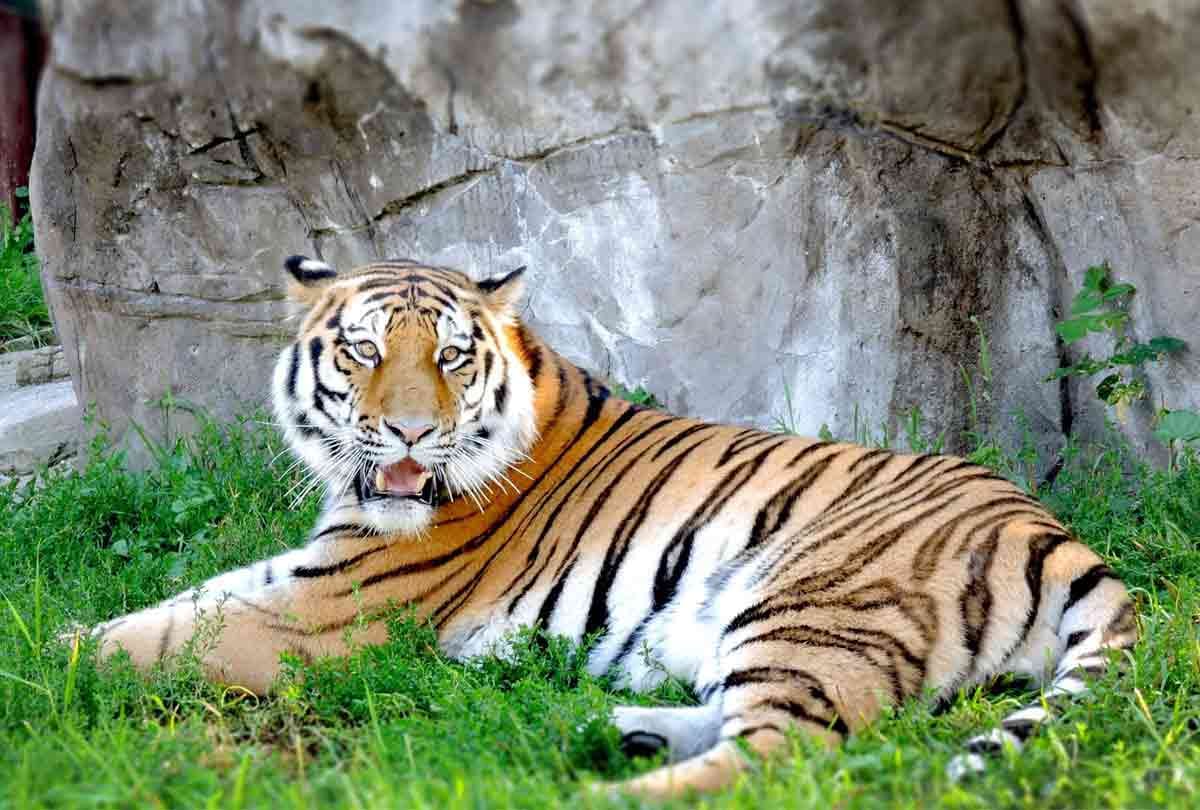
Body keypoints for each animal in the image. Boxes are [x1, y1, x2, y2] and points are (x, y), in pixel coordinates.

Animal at [84, 256, 1138, 798]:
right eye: (366, 351)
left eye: (453, 358)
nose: (412, 430)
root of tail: (1048, 525)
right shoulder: (304, 576)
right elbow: (170, 608)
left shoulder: (324, 615)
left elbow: (147, 640)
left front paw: (59, 662)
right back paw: (610, 729)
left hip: (810, 596)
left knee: (781, 757)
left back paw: (600, 785)